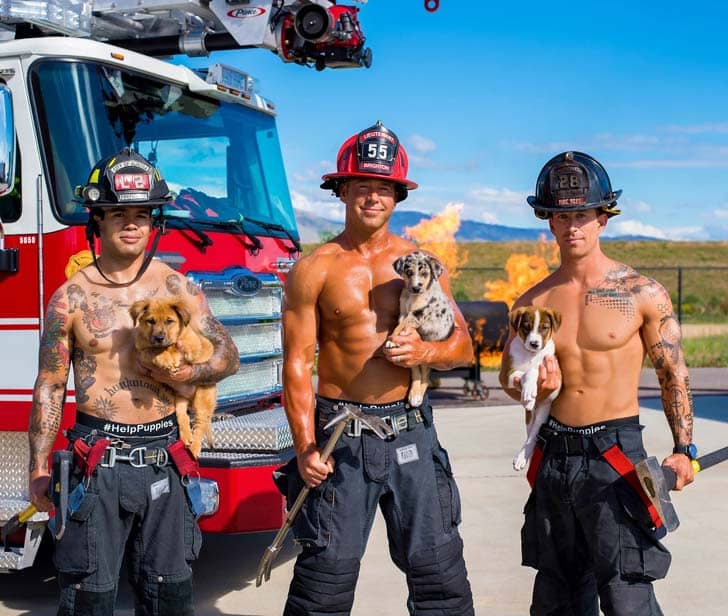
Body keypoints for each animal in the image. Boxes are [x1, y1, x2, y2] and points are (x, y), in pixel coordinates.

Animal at [129, 298, 215, 458]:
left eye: (169, 321)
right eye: (150, 321)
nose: (159, 338)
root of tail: (190, 399)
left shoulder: (195, 345)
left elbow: (176, 345)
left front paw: (171, 355)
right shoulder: (142, 352)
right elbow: (152, 349)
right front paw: (165, 358)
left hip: (203, 398)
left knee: (200, 425)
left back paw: (194, 448)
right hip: (179, 400)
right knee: (183, 417)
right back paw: (186, 437)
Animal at [386, 250, 456, 410]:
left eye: (425, 273)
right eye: (409, 272)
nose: (416, 288)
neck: (412, 296)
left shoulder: (418, 314)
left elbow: (402, 327)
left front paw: (391, 341)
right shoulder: (403, 313)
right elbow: (399, 326)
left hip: (426, 356)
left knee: (425, 376)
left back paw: (417, 397)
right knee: (415, 371)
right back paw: (414, 394)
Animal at [506, 308, 564, 472]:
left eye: (544, 327)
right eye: (526, 327)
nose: (534, 344)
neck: (531, 355)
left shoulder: (554, 376)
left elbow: (533, 370)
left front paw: (529, 392)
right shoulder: (508, 375)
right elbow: (524, 373)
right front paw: (528, 394)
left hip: (542, 416)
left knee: (532, 437)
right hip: (530, 418)